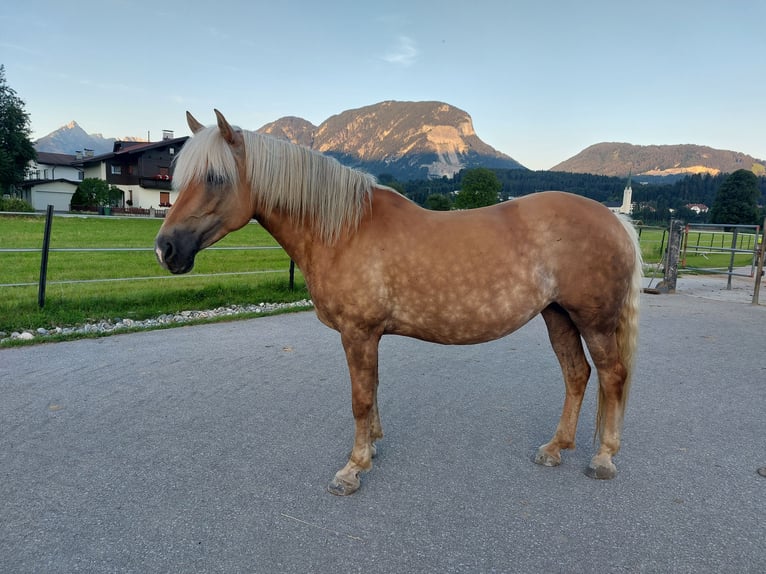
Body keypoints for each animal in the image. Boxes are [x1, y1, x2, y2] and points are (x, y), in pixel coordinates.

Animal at [154, 110, 640, 498]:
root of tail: (615, 219)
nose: (165, 249)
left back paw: (603, 458)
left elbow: (359, 398)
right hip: (558, 315)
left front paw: (353, 468)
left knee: (612, 376)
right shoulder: (368, 336)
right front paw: (371, 446)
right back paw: (556, 448)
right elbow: (372, 392)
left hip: (594, 320)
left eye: (215, 178)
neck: (344, 229)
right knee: (576, 375)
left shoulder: (358, 333)